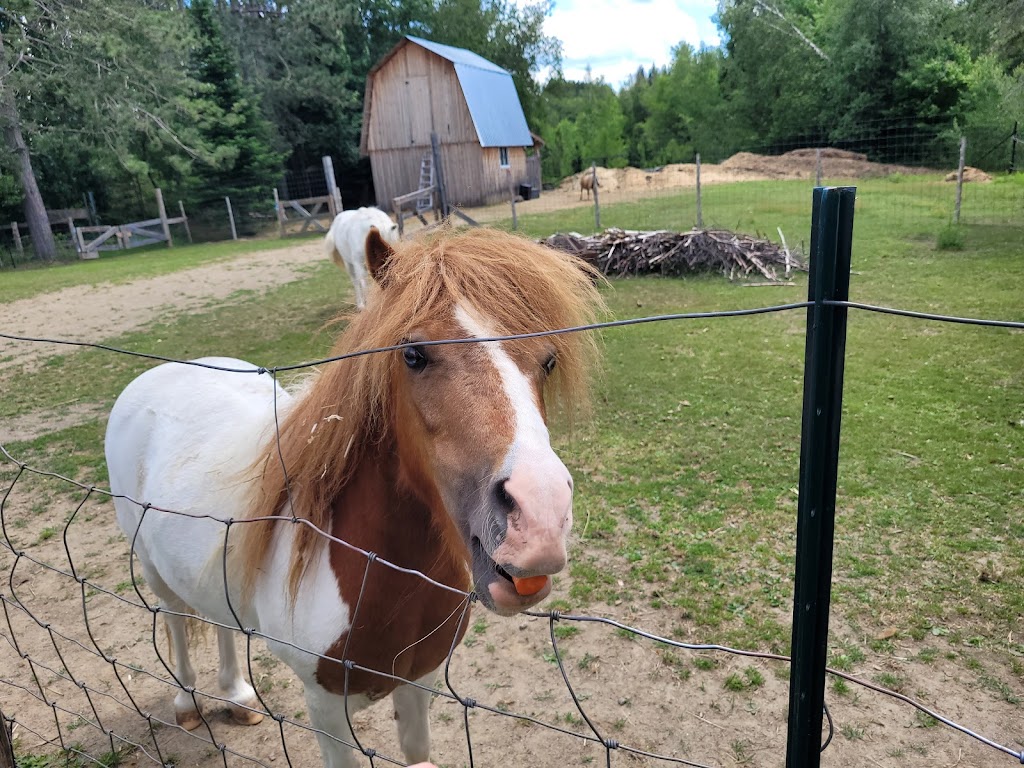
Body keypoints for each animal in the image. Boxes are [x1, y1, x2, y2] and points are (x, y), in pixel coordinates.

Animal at [105, 228, 598, 768]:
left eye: (548, 361)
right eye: (413, 355)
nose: (540, 517)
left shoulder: (419, 683)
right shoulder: (325, 708)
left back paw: (237, 697)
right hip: (152, 568)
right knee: (174, 618)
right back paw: (188, 702)